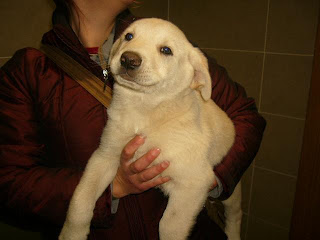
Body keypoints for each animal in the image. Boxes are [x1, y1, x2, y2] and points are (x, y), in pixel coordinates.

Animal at [58, 18, 241, 240]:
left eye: (166, 50)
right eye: (128, 36)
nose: (128, 59)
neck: (143, 111)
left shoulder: (194, 182)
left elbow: (169, 225)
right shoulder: (103, 157)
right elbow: (81, 198)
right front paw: (71, 234)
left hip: (232, 191)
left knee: (235, 214)